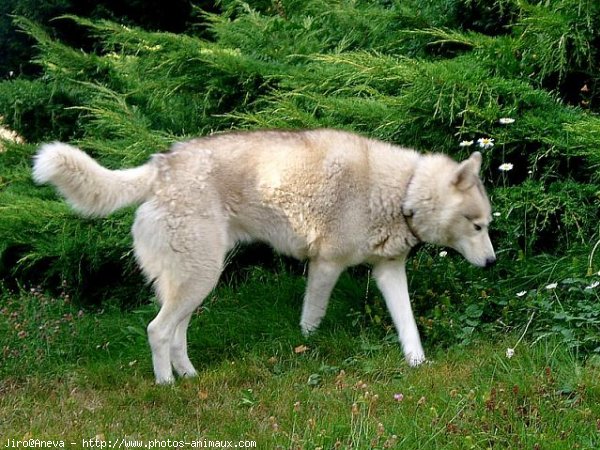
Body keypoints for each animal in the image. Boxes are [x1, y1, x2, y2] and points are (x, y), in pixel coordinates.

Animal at [31, 129, 496, 384]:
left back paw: (190, 376)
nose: (493, 264)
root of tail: (160, 167)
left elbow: (408, 326)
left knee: (176, 334)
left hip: (195, 284)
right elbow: (311, 321)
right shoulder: (325, 267)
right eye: (477, 226)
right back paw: (166, 386)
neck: (404, 192)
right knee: (157, 331)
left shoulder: (388, 273)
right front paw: (306, 348)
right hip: (199, 279)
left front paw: (418, 364)